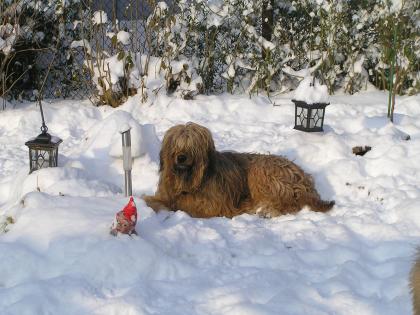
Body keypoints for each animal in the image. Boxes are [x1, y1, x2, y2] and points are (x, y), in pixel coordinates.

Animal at [144, 122, 334, 218]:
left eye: (192, 145)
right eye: (175, 144)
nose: (181, 157)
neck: (189, 181)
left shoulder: (212, 206)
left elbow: (183, 205)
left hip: (261, 171)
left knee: (291, 203)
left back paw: (267, 210)